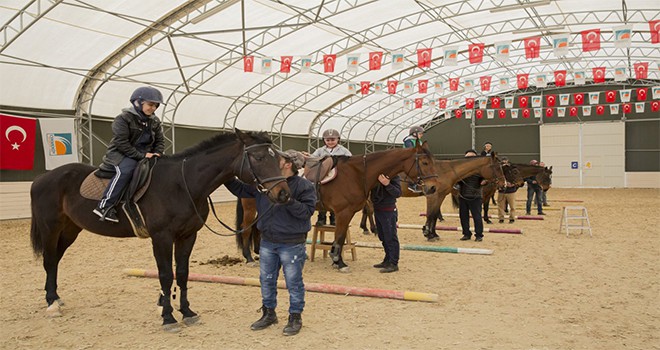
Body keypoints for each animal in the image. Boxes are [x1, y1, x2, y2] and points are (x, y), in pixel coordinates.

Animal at [27, 129, 292, 330]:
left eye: (277, 158)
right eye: (259, 158)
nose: (283, 194)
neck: (183, 184)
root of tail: (41, 178)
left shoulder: (188, 236)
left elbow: (182, 273)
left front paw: (187, 312)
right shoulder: (161, 237)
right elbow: (165, 275)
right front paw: (168, 317)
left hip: (71, 230)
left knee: (55, 260)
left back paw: (56, 298)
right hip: (51, 228)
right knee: (49, 260)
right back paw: (51, 304)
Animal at [232, 142, 438, 270]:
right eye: (424, 162)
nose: (433, 187)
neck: (357, 173)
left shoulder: (347, 213)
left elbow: (341, 236)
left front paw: (336, 258)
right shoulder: (343, 212)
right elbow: (339, 236)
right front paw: (339, 262)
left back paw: (258, 252)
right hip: (251, 207)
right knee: (246, 229)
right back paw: (248, 257)